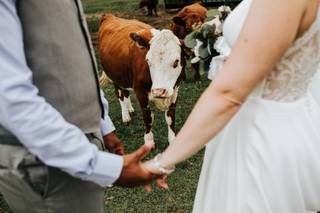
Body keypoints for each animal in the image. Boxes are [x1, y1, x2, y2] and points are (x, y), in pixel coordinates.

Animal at [99, 13, 185, 145]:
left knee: (125, 92)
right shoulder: (140, 92)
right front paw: (149, 141)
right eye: (148, 60)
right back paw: (126, 116)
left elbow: (170, 118)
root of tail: (109, 15)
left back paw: (130, 109)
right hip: (114, 76)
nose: (159, 91)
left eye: (176, 62)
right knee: (119, 94)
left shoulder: (175, 91)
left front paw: (173, 140)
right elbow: (148, 118)